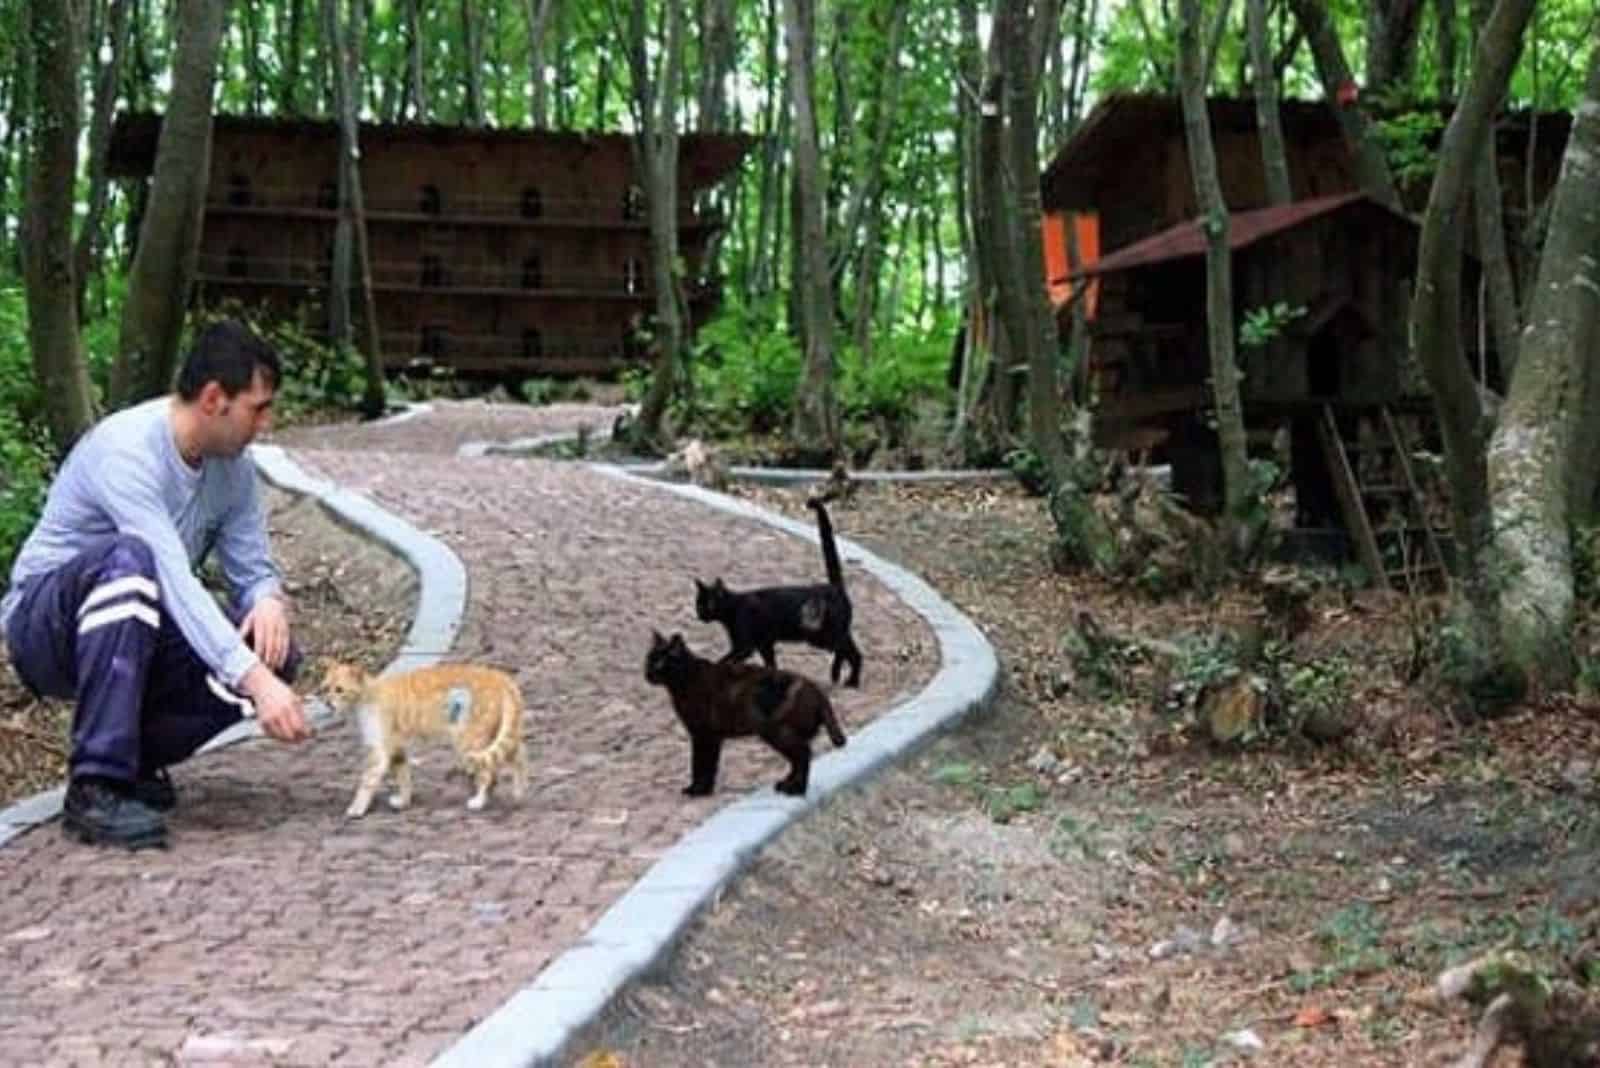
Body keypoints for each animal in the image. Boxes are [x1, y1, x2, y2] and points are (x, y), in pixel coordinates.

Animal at [318, 658, 531, 818]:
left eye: (339, 690)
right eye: (326, 688)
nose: (327, 703)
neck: (369, 694)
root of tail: (499, 676)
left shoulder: (379, 752)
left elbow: (367, 782)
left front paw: (357, 808)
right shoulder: (397, 748)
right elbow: (403, 776)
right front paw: (403, 801)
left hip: (470, 739)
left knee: (489, 773)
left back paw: (479, 801)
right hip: (498, 737)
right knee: (518, 759)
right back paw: (519, 793)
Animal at [646, 629, 857, 796]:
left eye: (659, 664)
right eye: (648, 660)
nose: (647, 674)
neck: (686, 678)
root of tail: (818, 691)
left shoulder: (703, 735)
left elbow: (700, 764)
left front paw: (697, 790)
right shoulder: (713, 737)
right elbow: (710, 765)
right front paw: (705, 789)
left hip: (776, 732)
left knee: (803, 755)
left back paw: (796, 790)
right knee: (798, 760)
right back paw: (787, 784)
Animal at [691, 498, 864, 684]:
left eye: (706, 605)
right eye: (698, 604)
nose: (699, 615)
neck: (734, 606)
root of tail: (834, 587)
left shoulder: (745, 646)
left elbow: (726, 660)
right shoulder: (764, 643)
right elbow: (770, 663)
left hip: (822, 636)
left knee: (844, 650)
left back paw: (841, 675)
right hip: (831, 634)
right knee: (854, 652)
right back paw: (848, 679)